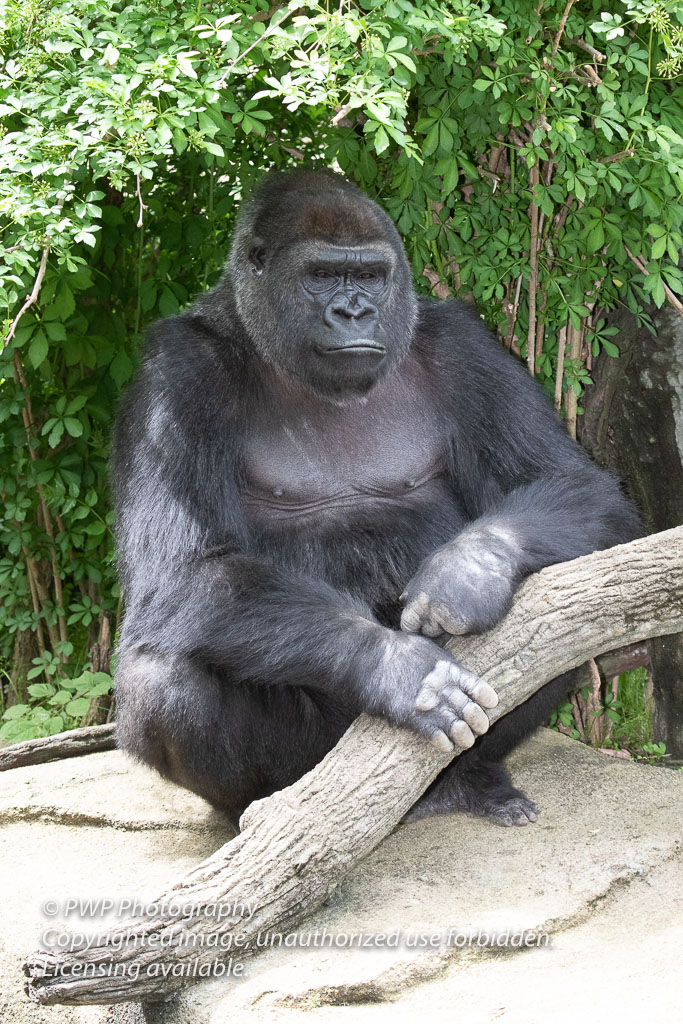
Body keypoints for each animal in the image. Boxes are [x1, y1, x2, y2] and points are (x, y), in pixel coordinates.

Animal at [112, 163, 643, 827]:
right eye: (321, 276)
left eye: (368, 275)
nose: (354, 310)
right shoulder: (175, 375)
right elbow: (182, 571)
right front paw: (396, 668)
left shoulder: (462, 343)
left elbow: (575, 482)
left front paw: (467, 574)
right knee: (162, 678)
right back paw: (260, 809)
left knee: (561, 600)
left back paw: (468, 780)